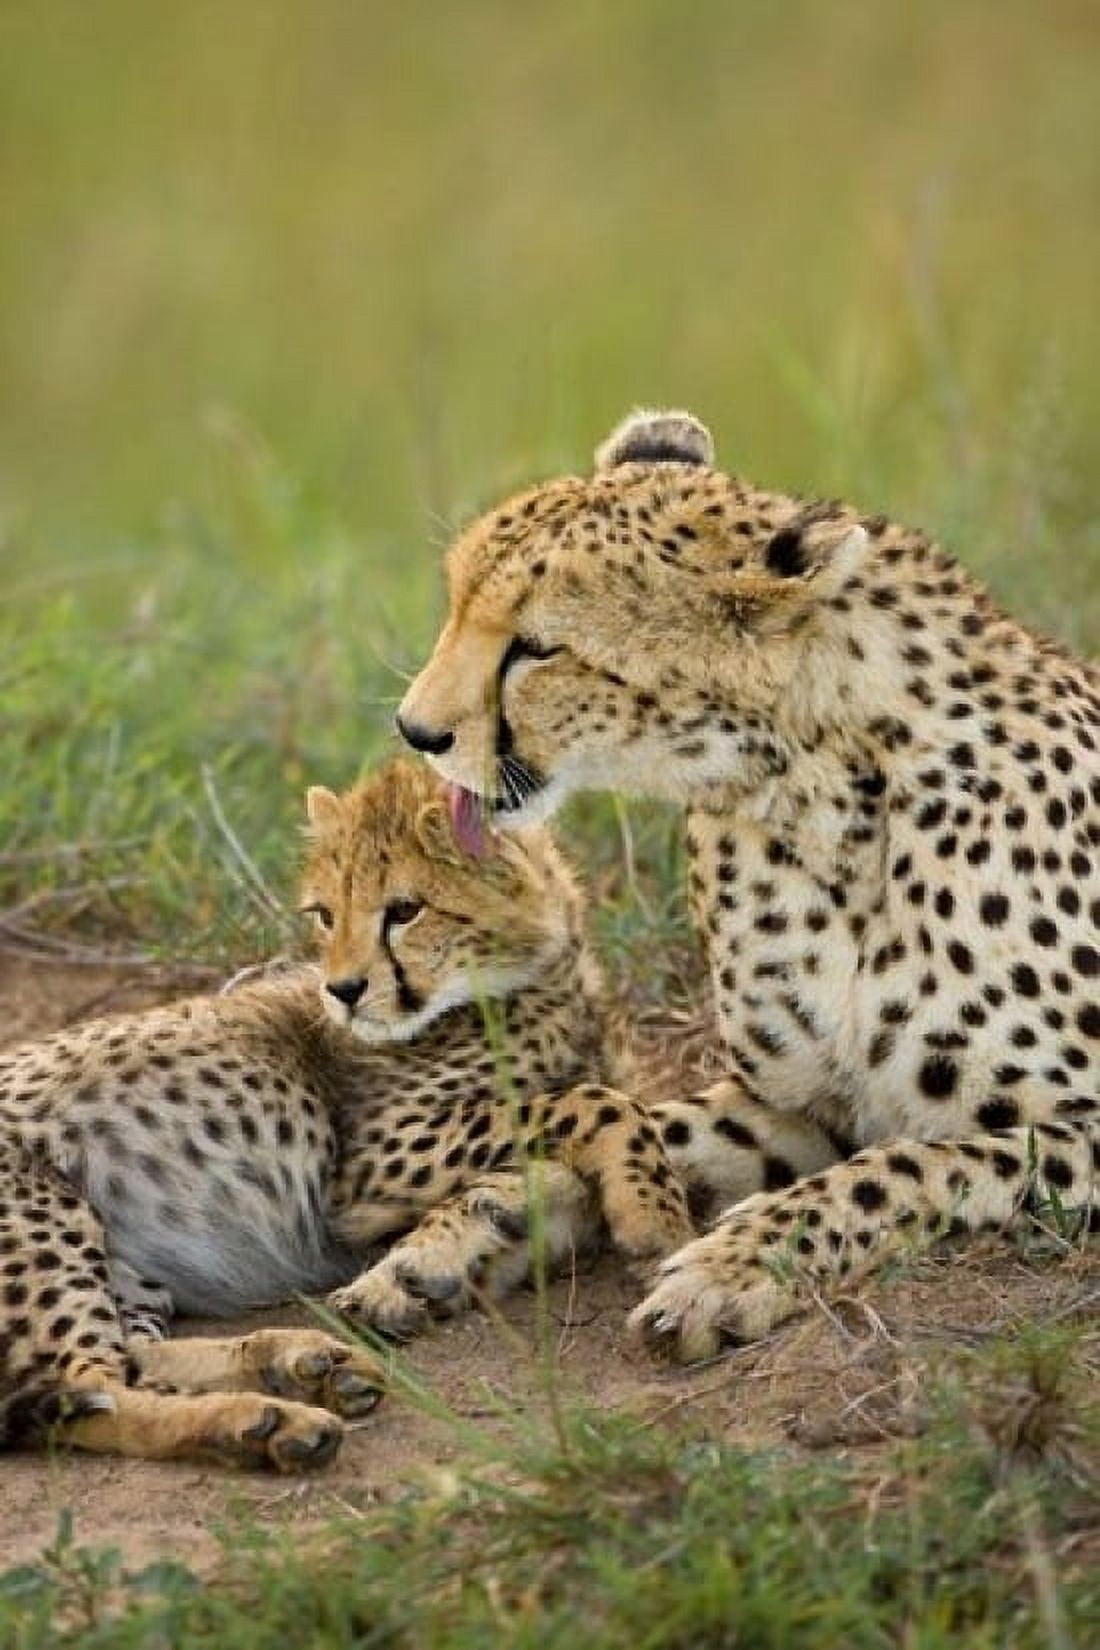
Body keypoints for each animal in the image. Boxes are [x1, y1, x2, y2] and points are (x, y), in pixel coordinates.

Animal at [0, 758, 696, 1467]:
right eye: (325, 915)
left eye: (406, 911)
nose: (342, 990)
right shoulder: (374, 1162)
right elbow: (601, 1104)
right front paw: (654, 1218)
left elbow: (579, 1146)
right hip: (41, 1214)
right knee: (86, 1389)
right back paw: (267, 1419)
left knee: (130, 1360)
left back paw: (297, 1366)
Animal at [397, 406, 1100, 1361]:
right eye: (458, 602)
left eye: (537, 649)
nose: (414, 730)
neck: (816, 800)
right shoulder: (798, 1104)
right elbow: (647, 1120)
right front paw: (459, 1231)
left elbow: (908, 1165)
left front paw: (728, 1270)